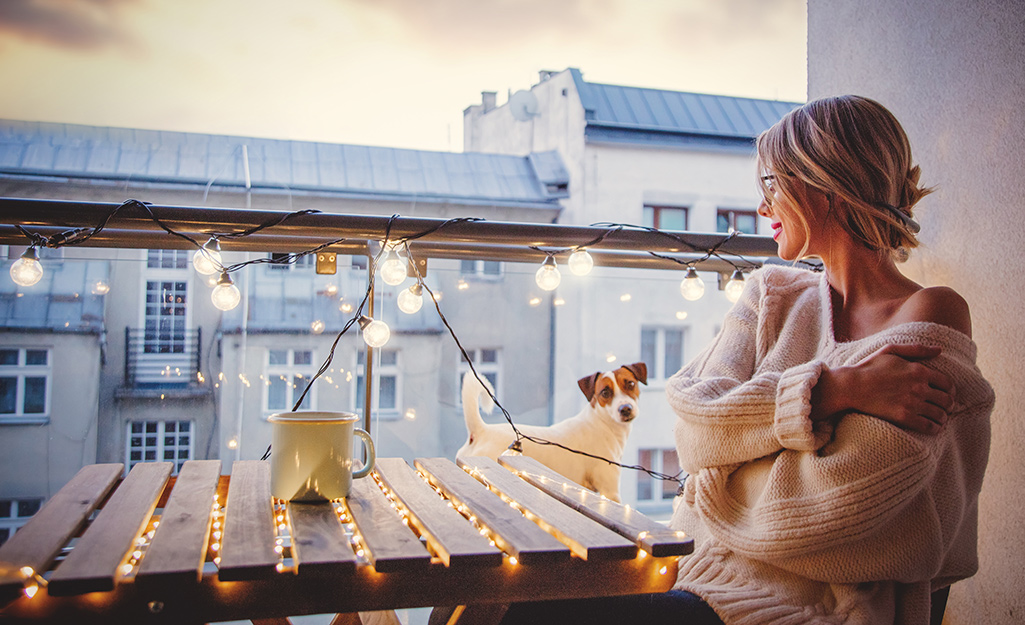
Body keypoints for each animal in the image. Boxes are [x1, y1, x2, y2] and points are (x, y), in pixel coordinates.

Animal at [457, 360, 647, 502]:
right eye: (605, 392)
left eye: (630, 384)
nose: (625, 409)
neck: (602, 422)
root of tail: (481, 430)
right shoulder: (609, 490)